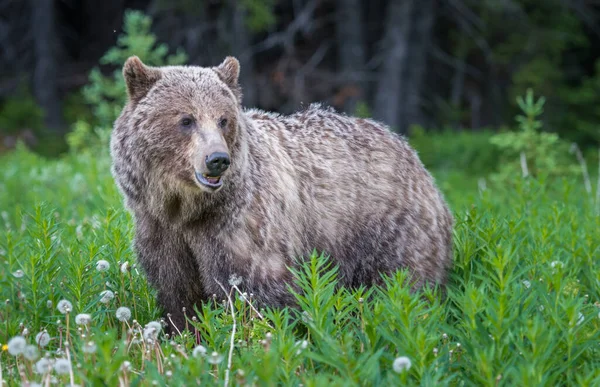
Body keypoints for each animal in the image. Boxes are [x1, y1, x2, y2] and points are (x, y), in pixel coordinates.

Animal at [110, 56, 452, 332]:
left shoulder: (243, 228)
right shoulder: (162, 231)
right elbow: (179, 294)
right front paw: (184, 333)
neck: (188, 208)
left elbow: (259, 292)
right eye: (186, 119)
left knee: (402, 283)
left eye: (223, 119)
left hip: (391, 230)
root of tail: (415, 156)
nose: (217, 159)